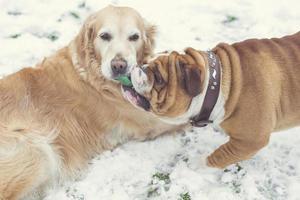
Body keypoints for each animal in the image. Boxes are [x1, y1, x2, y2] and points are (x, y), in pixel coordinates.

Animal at [0, 5, 177, 199]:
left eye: (134, 37)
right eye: (105, 36)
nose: (119, 66)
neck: (92, 74)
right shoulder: (149, 119)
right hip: (37, 150)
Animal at [128, 31, 300, 169]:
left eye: (158, 78)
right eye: (144, 61)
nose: (138, 66)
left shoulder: (251, 141)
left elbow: (221, 155)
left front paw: (196, 164)